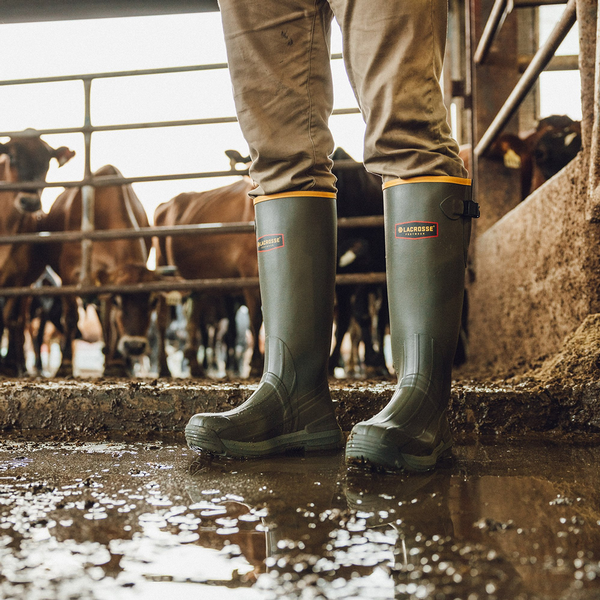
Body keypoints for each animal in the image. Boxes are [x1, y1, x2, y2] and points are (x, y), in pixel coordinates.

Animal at [0, 132, 75, 376]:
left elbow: (11, 319)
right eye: (12, 157)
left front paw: (11, 365)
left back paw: (18, 363)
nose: (30, 202)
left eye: (46, 164)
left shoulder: (18, 278)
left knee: (19, 321)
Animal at [42, 165, 162, 377]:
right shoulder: (68, 274)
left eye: (154, 301)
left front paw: (116, 364)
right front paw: (65, 365)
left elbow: (110, 323)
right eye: (118, 300)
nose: (134, 346)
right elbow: (71, 318)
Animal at [153, 176, 262, 379]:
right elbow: (255, 320)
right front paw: (256, 365)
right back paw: (164, 368)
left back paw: (196, 366)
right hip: (163, 268)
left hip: (195, 281)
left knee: (193, 320)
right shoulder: (249, 276)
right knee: (163, 319)